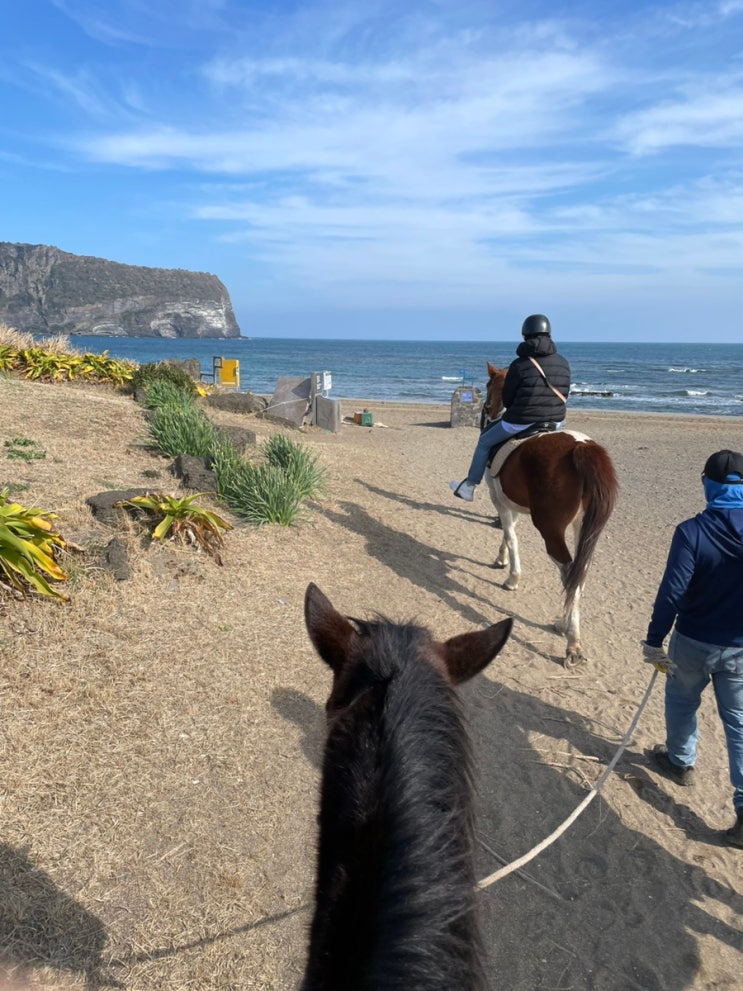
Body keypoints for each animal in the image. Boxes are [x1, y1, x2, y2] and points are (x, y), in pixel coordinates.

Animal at [482, 364, 616, 668]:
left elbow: (510, 536)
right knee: (579, 573)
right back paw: (565, 626)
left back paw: (571, 639)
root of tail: (581, 447)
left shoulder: (500, 501)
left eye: (488, 386)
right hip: (583, 529)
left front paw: (512, 577)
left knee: (568, 573)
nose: (488, 410)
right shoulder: (513, 503)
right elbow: (509, 533)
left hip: (550, 530)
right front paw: (501, 560)